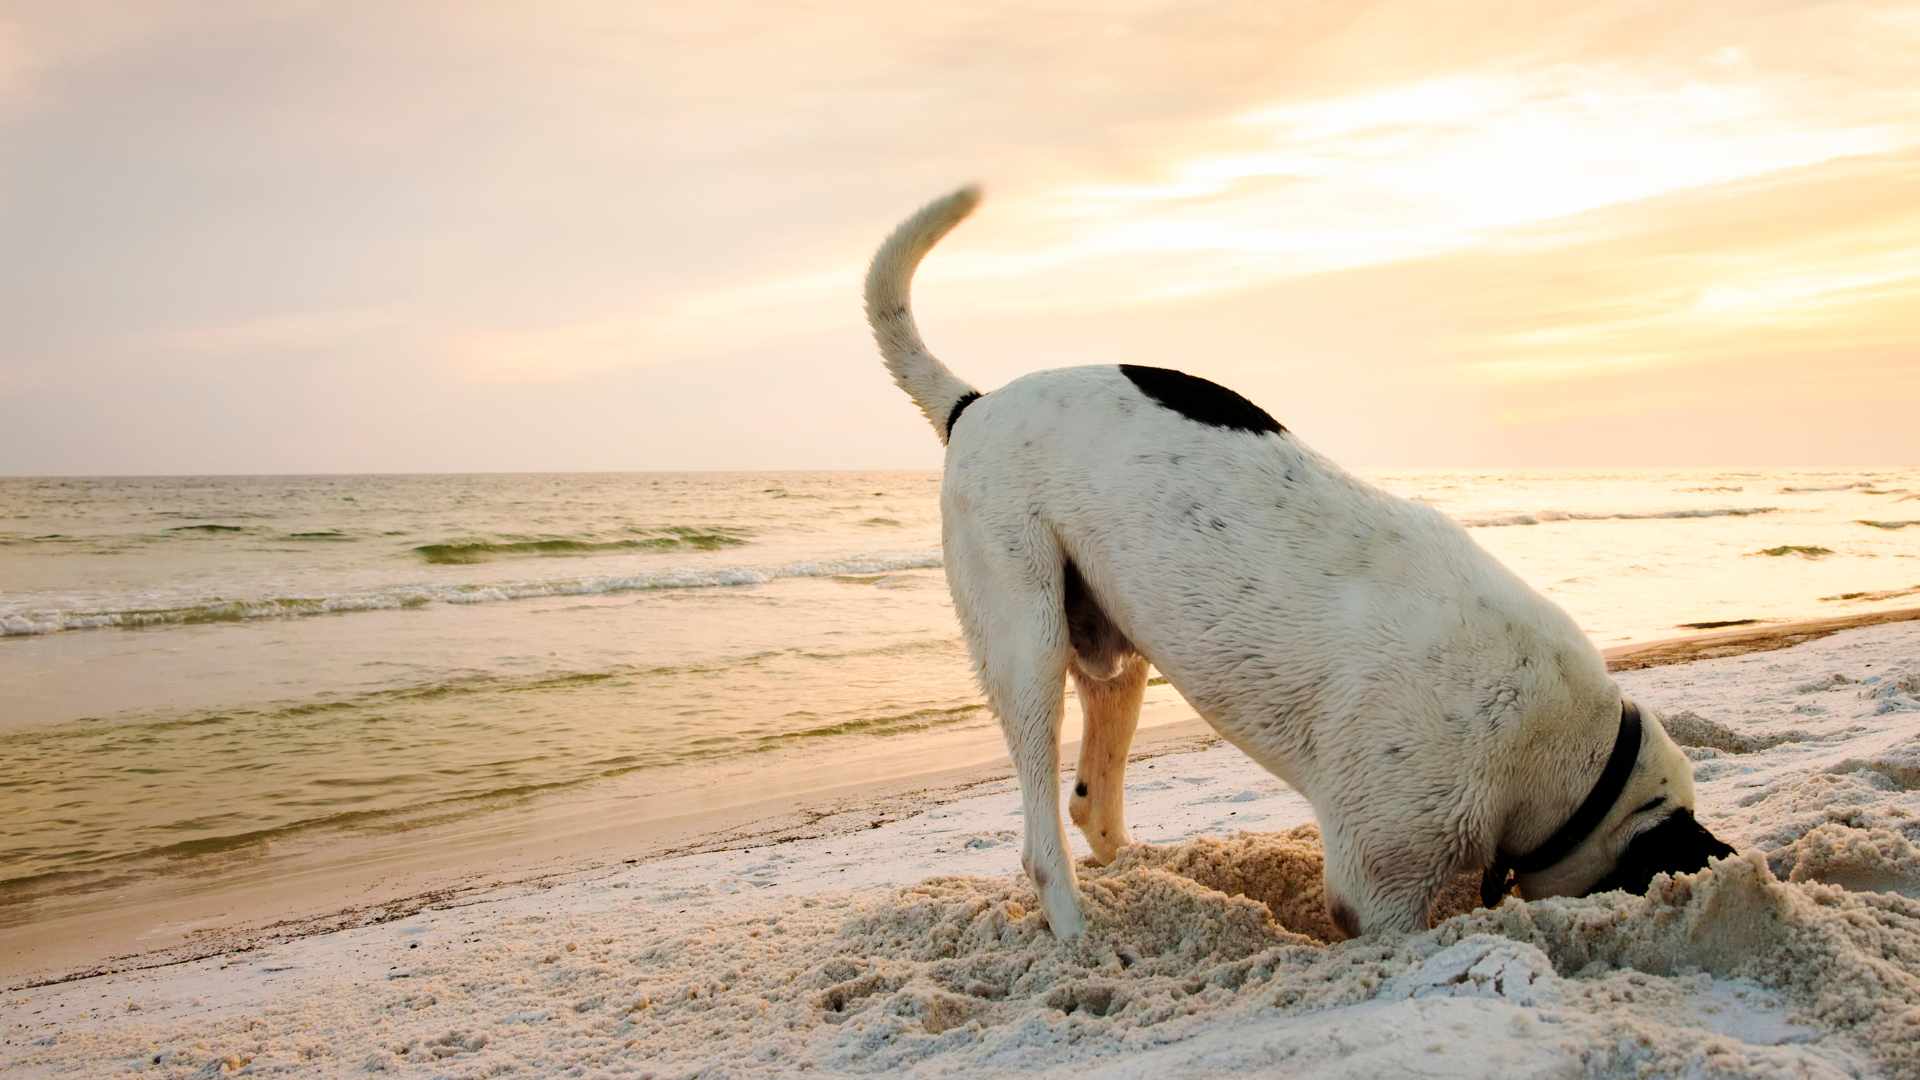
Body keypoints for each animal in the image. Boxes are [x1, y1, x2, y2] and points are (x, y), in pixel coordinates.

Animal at [864, 184, 1735, 933]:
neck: (1569, 753)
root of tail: (974, 405)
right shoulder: (1379, 880)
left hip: (1114, 652)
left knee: (1091, 797)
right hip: (1027, 639)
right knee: (1042, 836)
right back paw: (1081, 934)